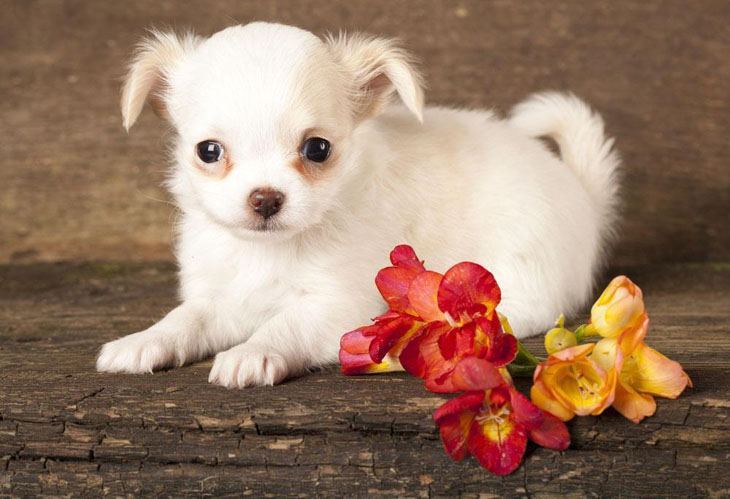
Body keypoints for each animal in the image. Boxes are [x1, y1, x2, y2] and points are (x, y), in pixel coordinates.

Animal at [96, 23, 620, 388]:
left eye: (317, 149)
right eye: (208, 151)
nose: (265, 198)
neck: (267, 252)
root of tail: (582, 194)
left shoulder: (337, 306)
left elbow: (286, 324)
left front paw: (253, 352)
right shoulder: (222, 297)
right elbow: (186, 319)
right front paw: (144, 341)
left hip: (522, 267)